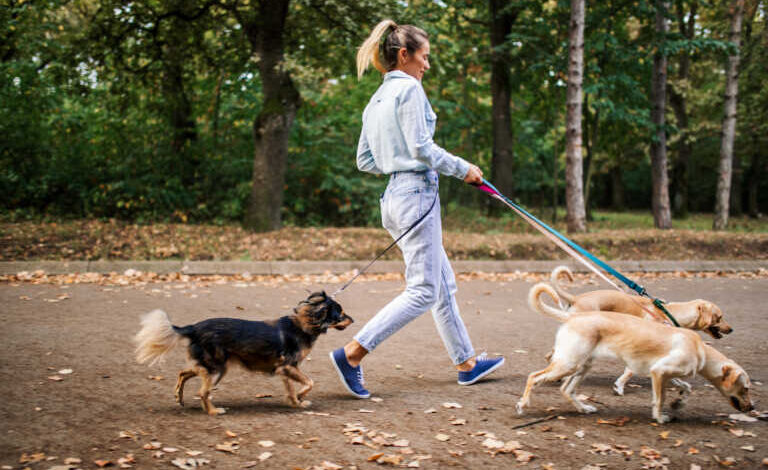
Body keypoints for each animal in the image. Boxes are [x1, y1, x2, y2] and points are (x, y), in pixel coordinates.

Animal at [136, 292, 352, 416]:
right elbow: (310, 382)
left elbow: (292, 389)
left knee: (183, 373)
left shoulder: (285, 370)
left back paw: (179, 398)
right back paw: (213, 411)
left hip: (211, 366)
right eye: (340, 313)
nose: (354, 320)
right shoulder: (288, 366)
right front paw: (300, 397)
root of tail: (194, 328)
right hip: (216, 368)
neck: (305, 324)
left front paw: (296, 402)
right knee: (202, 392)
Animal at [516, 284, 756, 424]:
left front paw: (679, 403)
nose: (752, 407)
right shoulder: (657, 371)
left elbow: (685, 387)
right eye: (745, 388)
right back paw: (523, 404)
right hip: (569, 363)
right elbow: (657, 398)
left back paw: (583, 408)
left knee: (566, 389)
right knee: (534, 377)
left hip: (582, 365)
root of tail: (572, 315)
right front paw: (660, 416)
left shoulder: (663, 372)